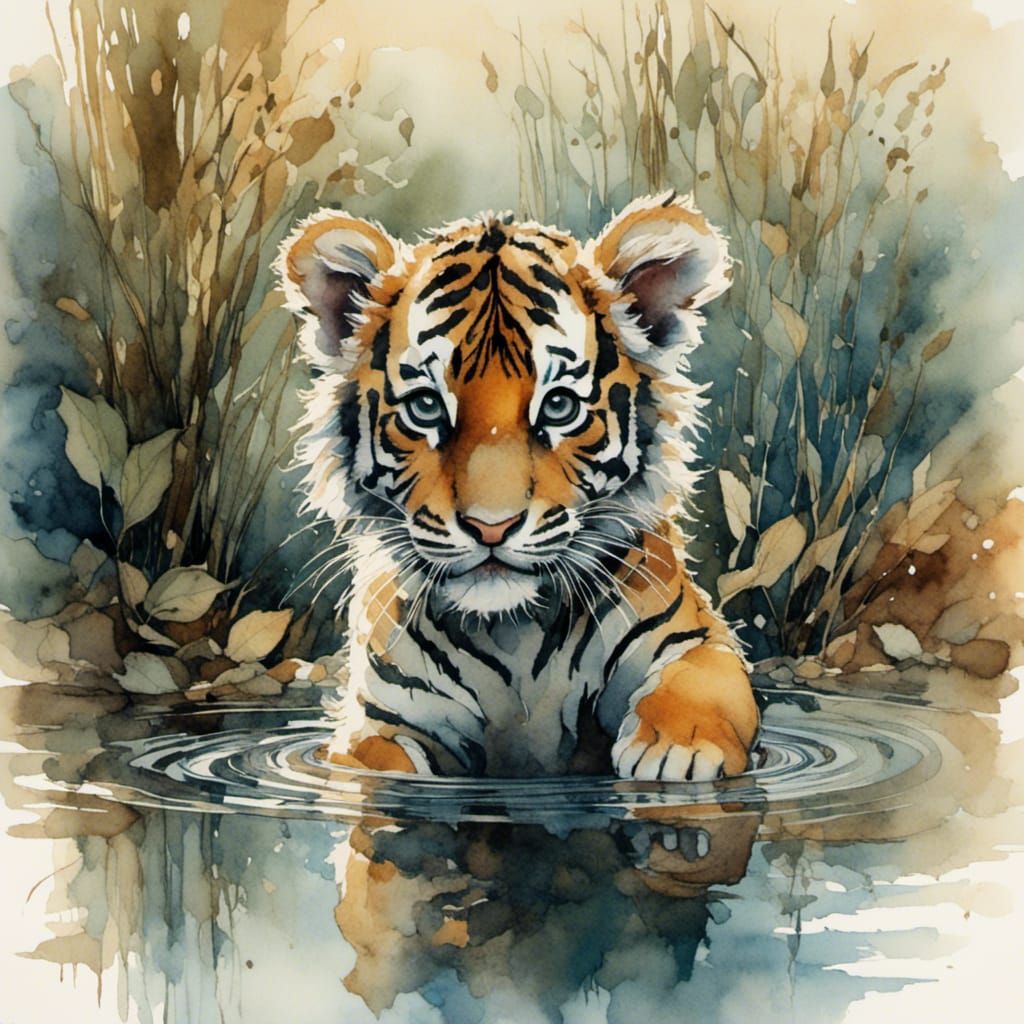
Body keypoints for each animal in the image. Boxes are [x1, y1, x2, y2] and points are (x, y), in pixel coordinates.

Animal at [277, 191, 759, 781]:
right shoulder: (380, 721)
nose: (491, 528)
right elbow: (374, 766)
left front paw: (677, 752)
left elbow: (700, 679)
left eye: (559, 406)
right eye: (426, 406)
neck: (512, 635)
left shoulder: (692, 637)